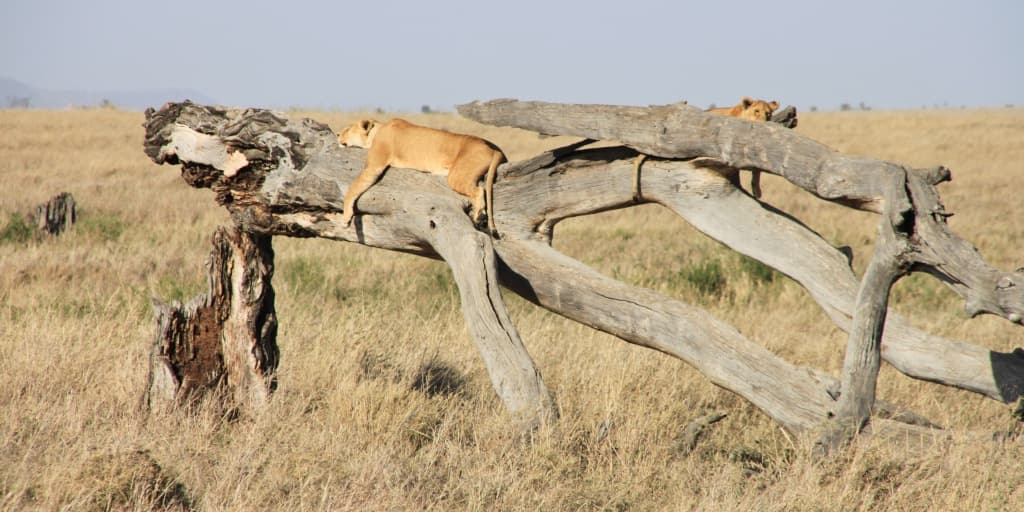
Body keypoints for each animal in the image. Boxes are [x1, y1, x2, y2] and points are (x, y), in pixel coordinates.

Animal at [337, 118, 506, 235]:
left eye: (347, 129)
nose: (338, 134)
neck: (378, 129)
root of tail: (493, 149)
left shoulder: (373, 167)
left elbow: (352, 189)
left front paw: (345, 218)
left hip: (456, 176)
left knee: (479, 191)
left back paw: (479, 218)